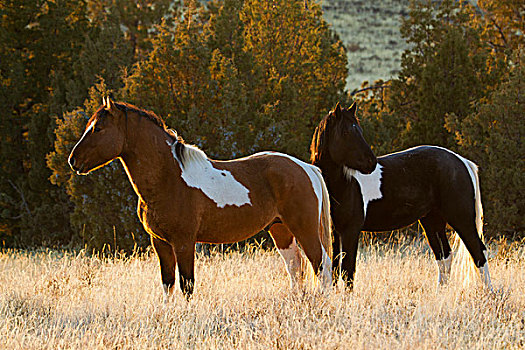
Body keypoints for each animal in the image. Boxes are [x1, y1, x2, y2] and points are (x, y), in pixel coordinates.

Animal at [68, 98, 332, 298]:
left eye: (98, 129)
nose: (73, 160)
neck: (169, 179)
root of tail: (306, 168)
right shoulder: (160, 242)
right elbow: (168, 283)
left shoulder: (184, 242)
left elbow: (187, 284)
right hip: (280, 229)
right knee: (296, 268)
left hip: (304, 228)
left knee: (322, 265)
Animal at [310, 103, 490, 290]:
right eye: (346, 132)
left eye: (359, 130)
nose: (371, 163)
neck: (344, 184)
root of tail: (462, 162)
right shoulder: (335, 232)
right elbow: (335, 270)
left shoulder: (350, 231)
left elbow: (348, 271)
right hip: (432, 221)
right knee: (444, 256)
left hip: (461, 218)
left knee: (479, 253)